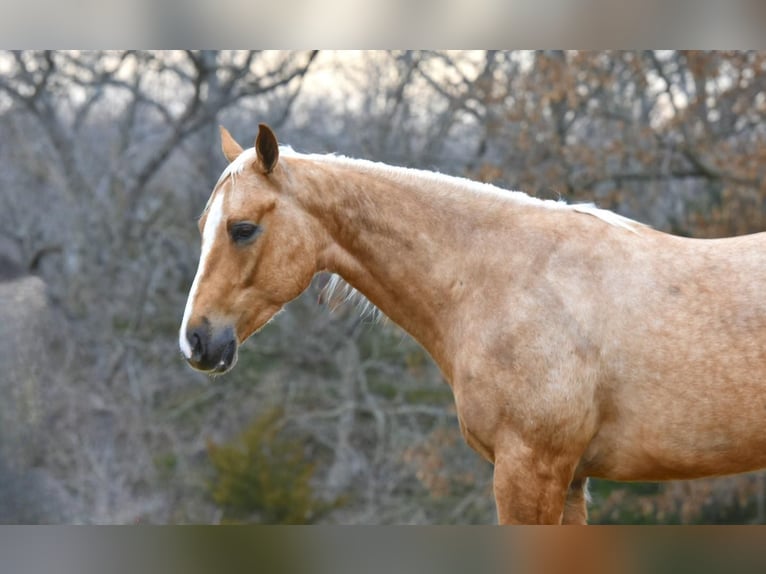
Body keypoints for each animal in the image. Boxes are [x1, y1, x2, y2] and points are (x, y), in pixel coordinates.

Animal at [182, 122, 766, 528]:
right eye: (204, 224)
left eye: (242, 228)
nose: (196, 341)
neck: (505, 278)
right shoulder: (571, 479)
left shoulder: (529, 471)